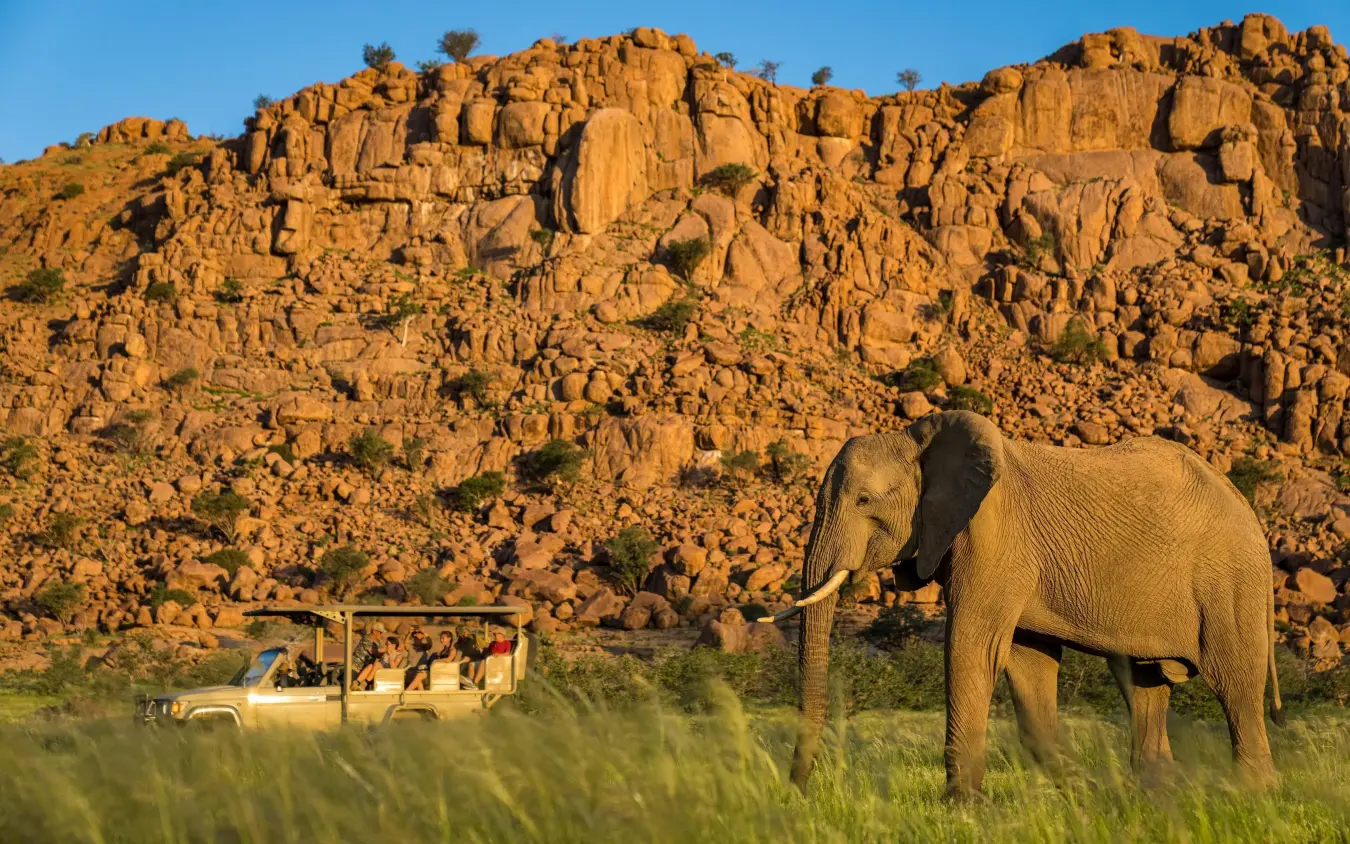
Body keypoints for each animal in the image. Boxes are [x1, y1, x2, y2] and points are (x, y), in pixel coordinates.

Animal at [760, 410, 1282, 799]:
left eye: (864, 500)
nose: (795, 795)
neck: (920, 442)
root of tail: (1245, 505)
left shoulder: (995, 537)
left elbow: (972, 647)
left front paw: (963, 808)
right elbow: (1027, 660)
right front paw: (1081, 793)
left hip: (1231, 582)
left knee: (1237, 686)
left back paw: (1253, 797)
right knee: (1144, 683)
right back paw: (1157, 797)